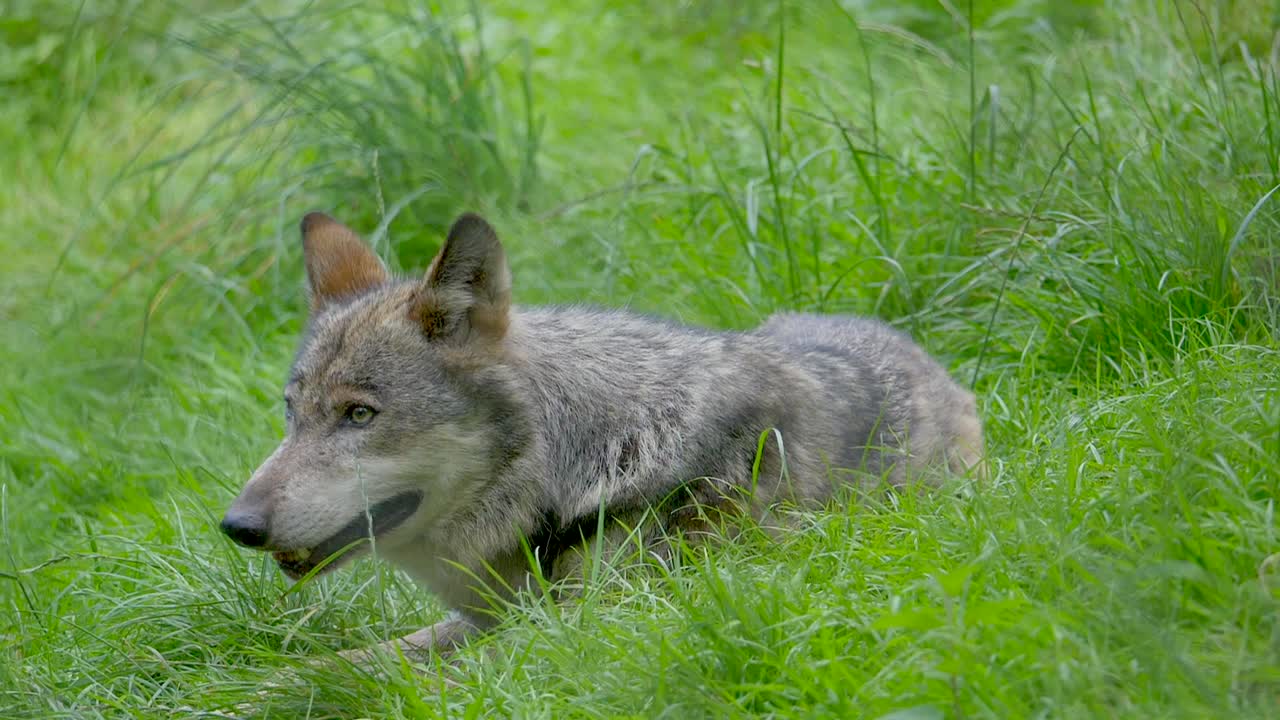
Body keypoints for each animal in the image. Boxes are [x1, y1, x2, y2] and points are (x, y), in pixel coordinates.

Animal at [219, 211, 984, 662]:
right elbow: (339, 665)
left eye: (359, 415)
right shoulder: (492, 618)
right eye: (292, 412)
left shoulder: (586, 633)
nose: (237, 525)